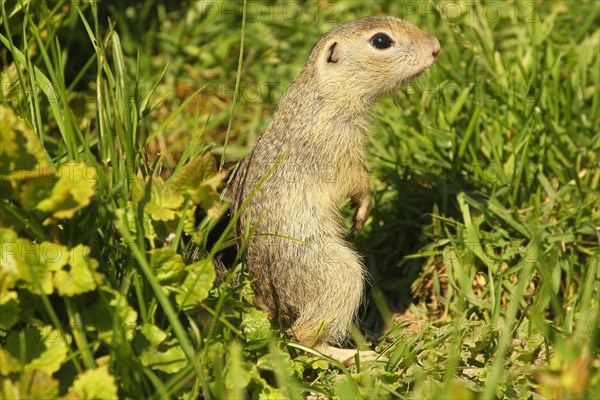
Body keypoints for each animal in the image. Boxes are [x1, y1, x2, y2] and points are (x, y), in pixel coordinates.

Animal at [232, 16, 438, 366]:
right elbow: (356, 180)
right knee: (302, 337)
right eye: (381, 41)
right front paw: (364, 209)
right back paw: (359, 357)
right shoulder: (338, 149)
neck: (323, 92)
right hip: (338, 274)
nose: (436, 47)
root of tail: (270, 305)